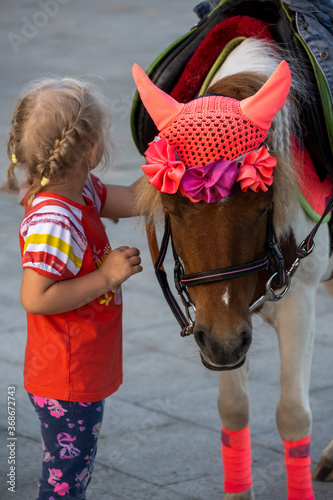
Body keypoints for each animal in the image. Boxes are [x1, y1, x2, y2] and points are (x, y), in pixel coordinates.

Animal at [132, 37, 332, 498]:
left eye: (263, 205)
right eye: (171, 207)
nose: (223, 344)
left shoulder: (297, 302)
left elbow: (293, 413)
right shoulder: (218, 320)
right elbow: (233, 407)